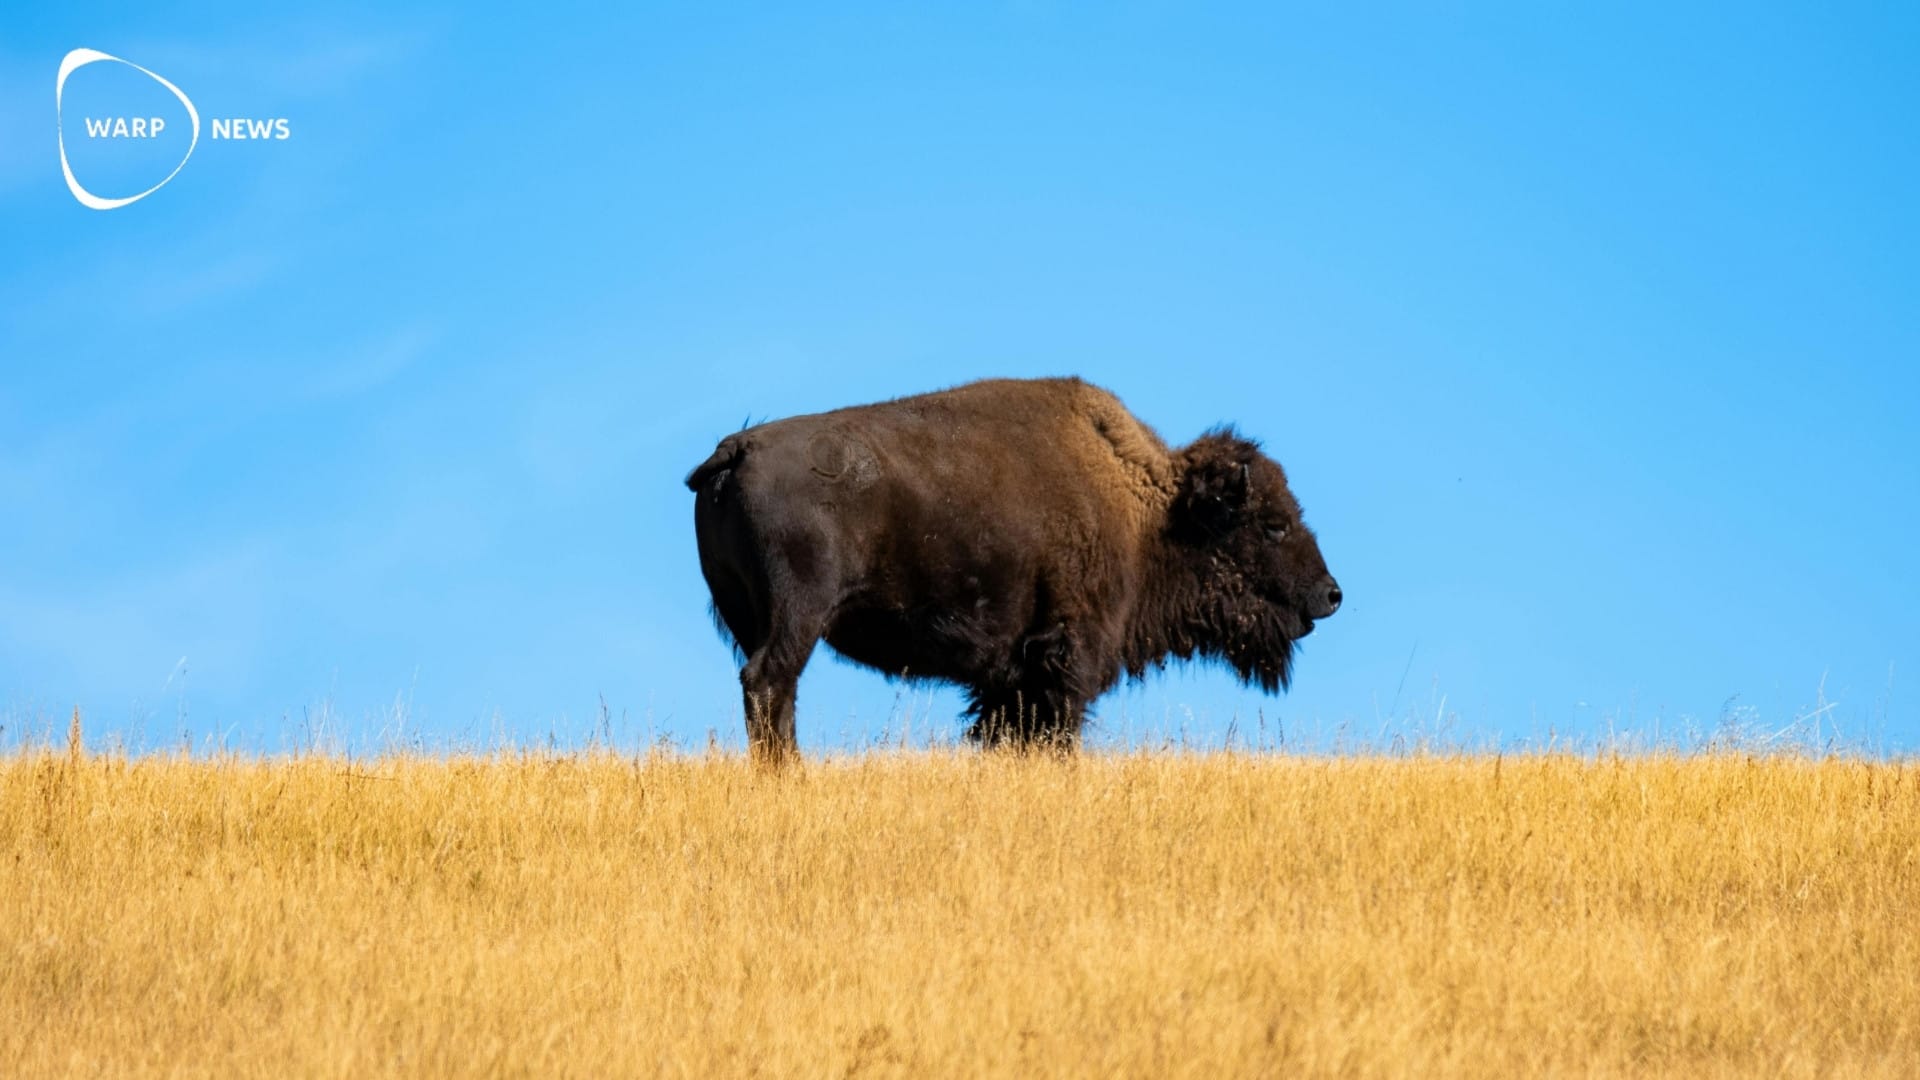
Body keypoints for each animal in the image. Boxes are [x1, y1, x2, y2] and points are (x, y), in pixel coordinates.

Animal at [685, 377, 1340, 761]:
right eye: (1272, 524)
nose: (1330, 595)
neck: (1148, 511)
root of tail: (736, 450)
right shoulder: (1063, 658)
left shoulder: (1007, 677)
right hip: (798, 616)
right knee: (771, 682)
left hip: (744, 614)